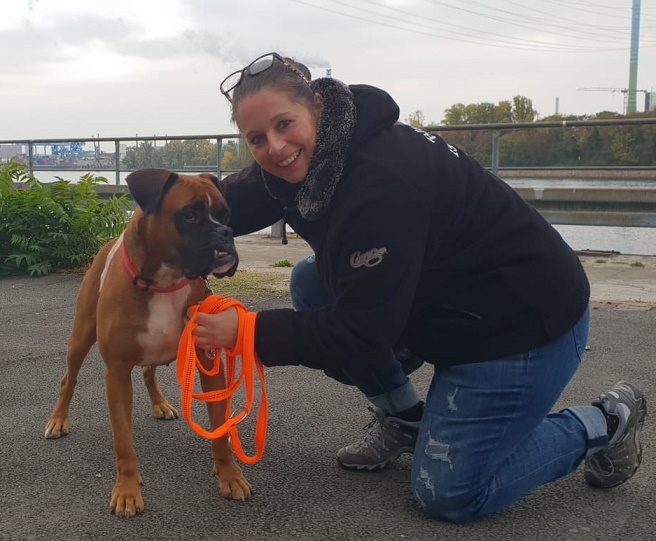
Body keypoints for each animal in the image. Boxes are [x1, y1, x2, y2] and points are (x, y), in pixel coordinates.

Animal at [44, 168, 251, 517]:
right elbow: (124, 443)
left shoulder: (209, 364)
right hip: (80, 338)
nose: (226, 232)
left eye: (226, 215)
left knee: (147, 372)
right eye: (190, 214)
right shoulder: (115, 372)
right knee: (68, 380)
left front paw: (230, 476)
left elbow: (220, 429)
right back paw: (58, 420)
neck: (165, 281)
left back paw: (160, 404)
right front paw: (127, 491)